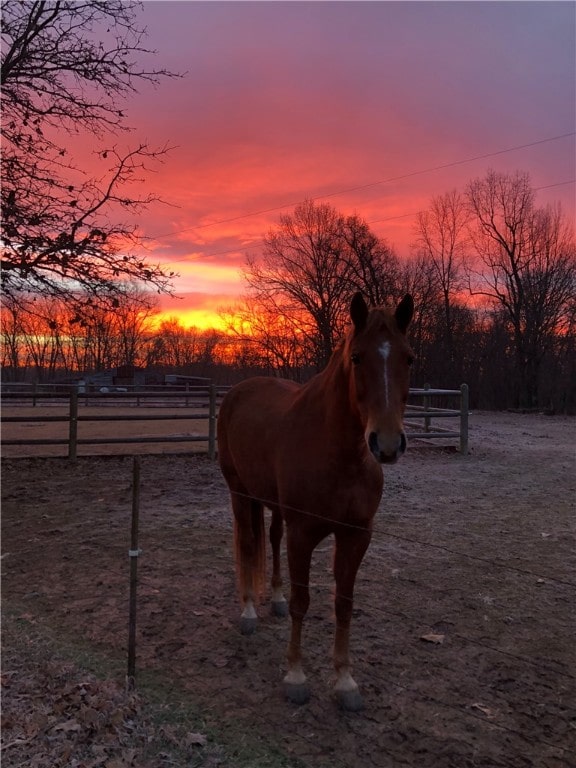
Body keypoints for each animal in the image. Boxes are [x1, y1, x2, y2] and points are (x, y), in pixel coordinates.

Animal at [217, 292, 414, 712]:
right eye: (357, 357)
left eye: (409, 358)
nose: (387, 444)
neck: (340, 455)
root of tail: (239, 390)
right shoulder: (304, 534)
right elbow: (302, 601)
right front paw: (295, 676)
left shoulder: (356, 536)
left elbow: (344, 604)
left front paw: (345, 681)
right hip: (240, 493)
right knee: (248, 545)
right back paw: (249, 613)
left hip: (272, 505)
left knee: (272, 539)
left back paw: (272, 599)